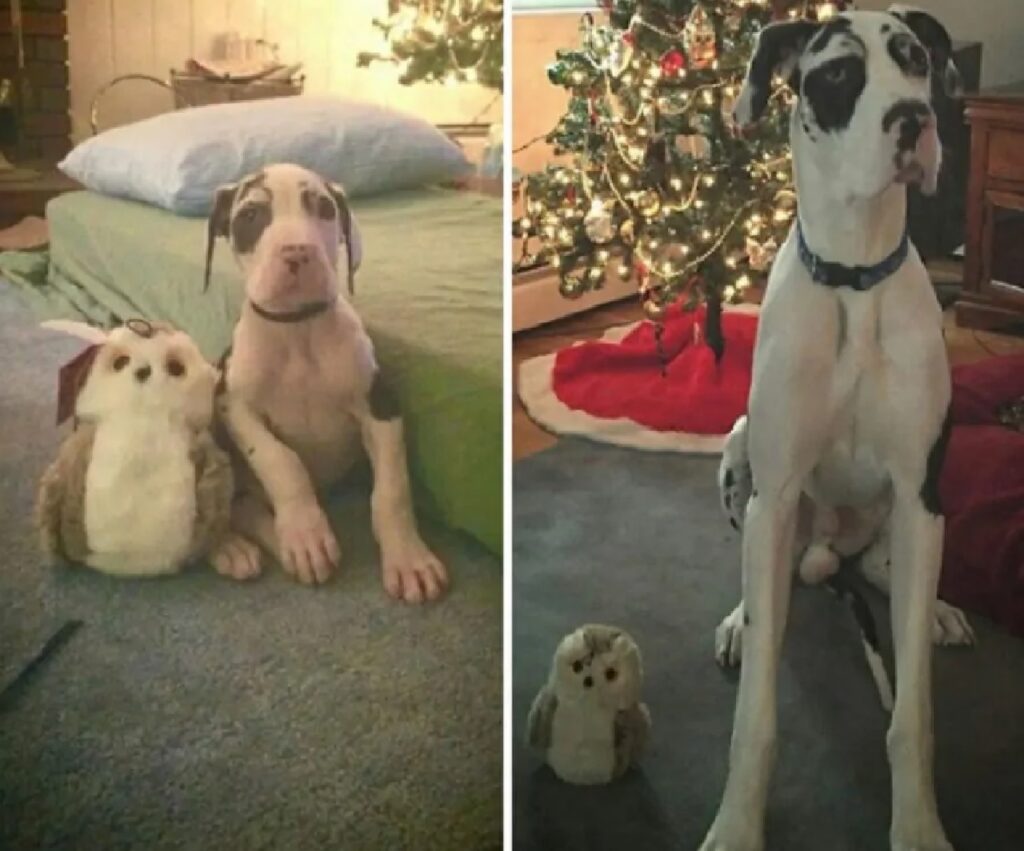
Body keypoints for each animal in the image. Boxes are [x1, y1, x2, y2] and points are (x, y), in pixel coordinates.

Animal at [704, 6, 966, 851]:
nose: (912, 120)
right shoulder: (778, 486)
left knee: (890, 570)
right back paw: (741, 620)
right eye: (839, 74)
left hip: (918, 515)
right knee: (766, 574)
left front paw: (917, 824)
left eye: (915, 58)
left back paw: (936, 607)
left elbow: (912, 713)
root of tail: (826, 553)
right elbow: (754, 717)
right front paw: (737, 824)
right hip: (740, 458)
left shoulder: (919, 490)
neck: (855, 276)